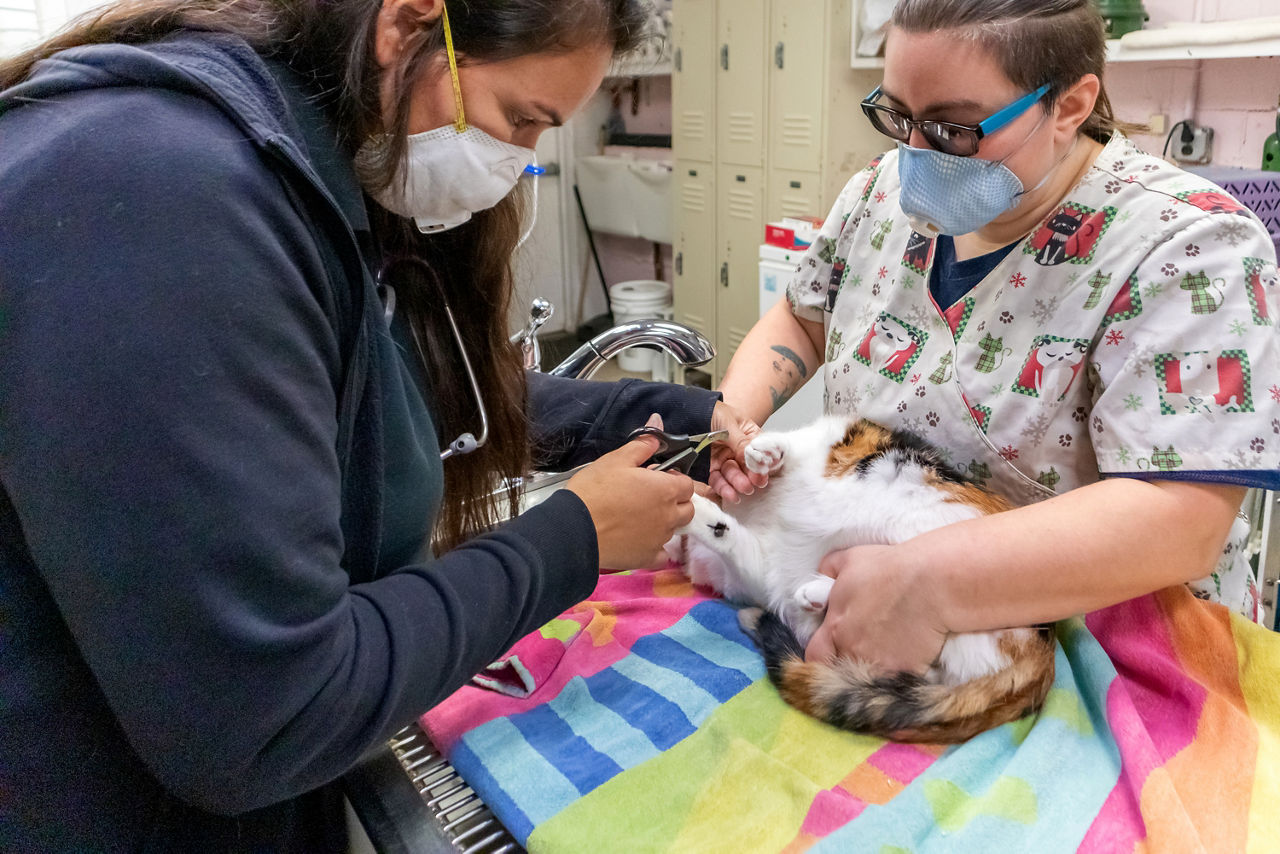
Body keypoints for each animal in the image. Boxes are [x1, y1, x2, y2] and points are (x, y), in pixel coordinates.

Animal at [670, 417, 1049, 742]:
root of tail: (1044, 661)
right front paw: (689, 519)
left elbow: (797, 443)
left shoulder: (844, 435)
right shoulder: (755, 572)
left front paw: (761, 454)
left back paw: (820, 588)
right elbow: (726, 536)